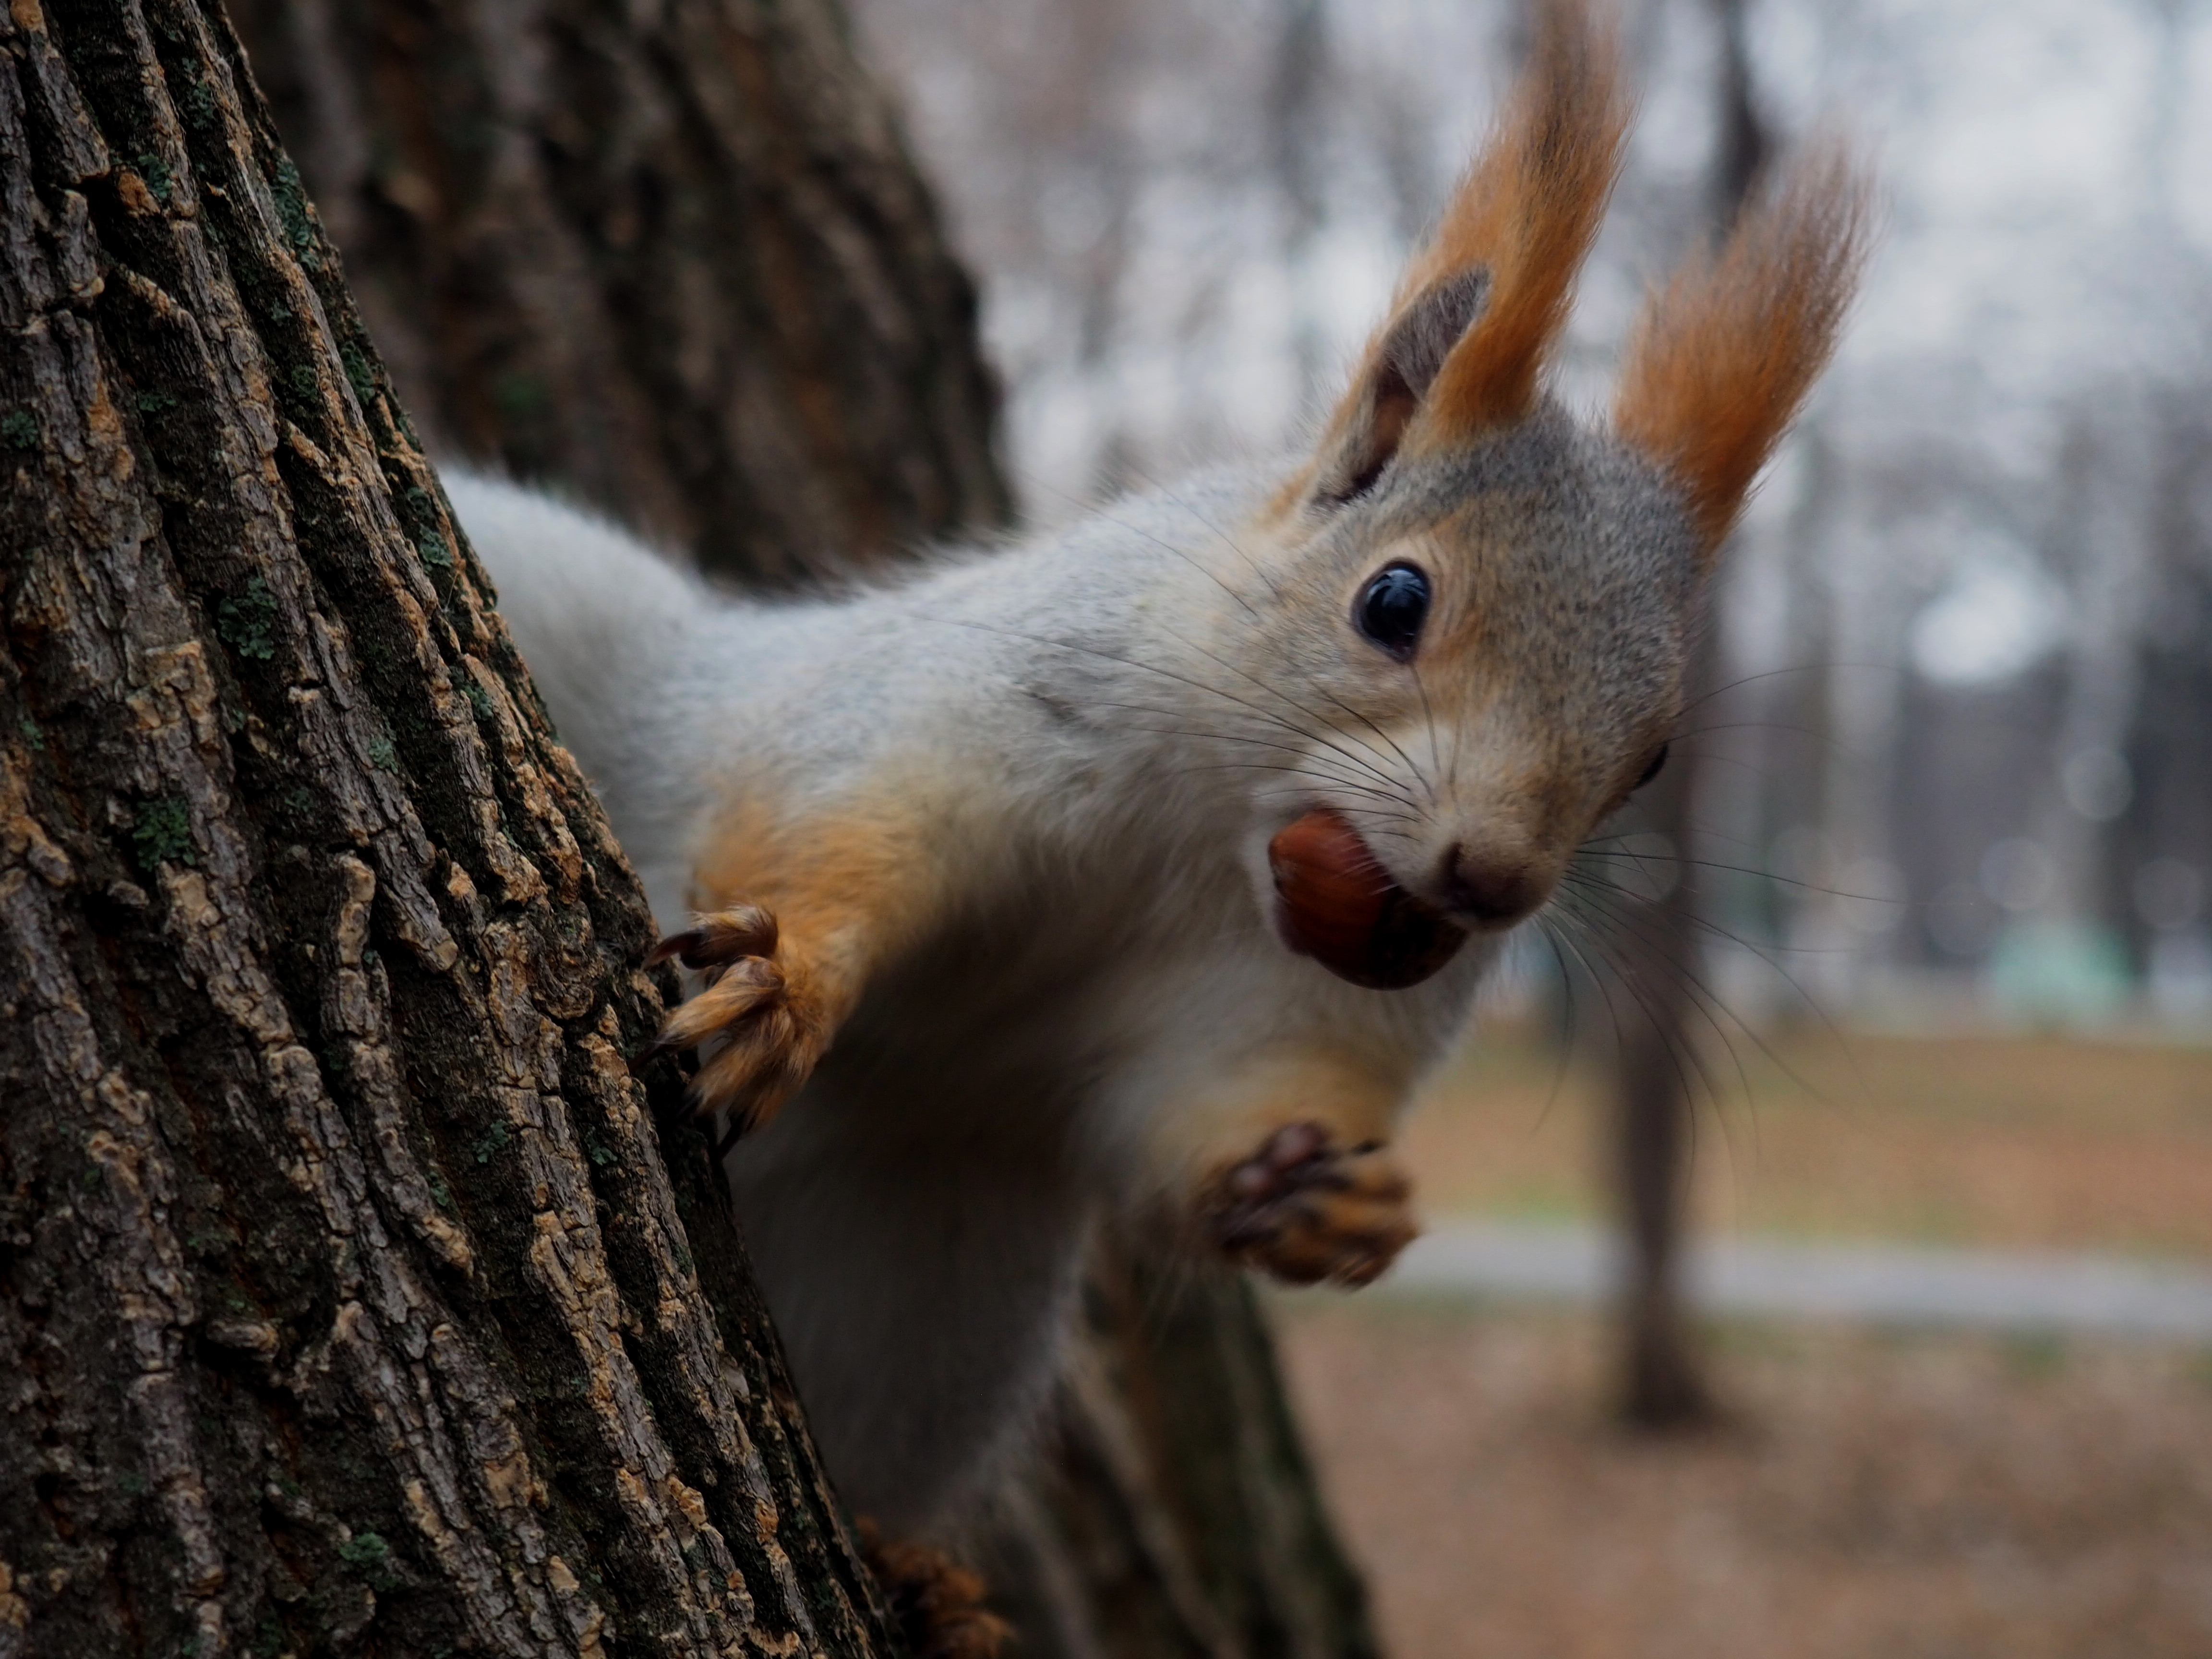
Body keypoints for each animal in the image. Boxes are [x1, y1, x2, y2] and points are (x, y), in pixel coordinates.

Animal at [445, 0, 1867, 1557]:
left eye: (1655, 752)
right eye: (1393, 601)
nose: (1489, 881)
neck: (1209, 835)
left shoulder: (1293, 1004)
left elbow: (1204, 1104)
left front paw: (1320, 1201)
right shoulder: (946, 713)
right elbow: (839, 821)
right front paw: (790, 976)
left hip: (924, 1290)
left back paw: (907, 1564)